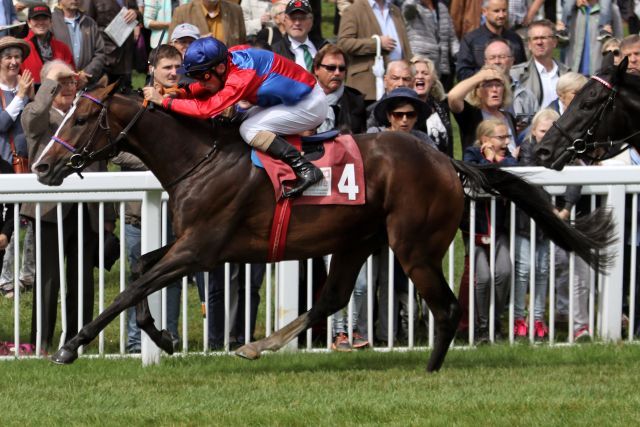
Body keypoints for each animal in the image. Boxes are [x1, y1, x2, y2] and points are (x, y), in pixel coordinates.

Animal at [32, 79, 612, 372]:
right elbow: (139, 268)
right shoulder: (193, 246)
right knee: (331, 298)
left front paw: (69, 346)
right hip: (357, 240)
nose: (41, 167)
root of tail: (447, 162)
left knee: (446, 307)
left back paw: (428, 371)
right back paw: (257, 345)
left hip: (413, 245)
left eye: (80, 119)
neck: (200, 158)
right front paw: (163, 337)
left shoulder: (203, 248)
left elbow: (131, 285)